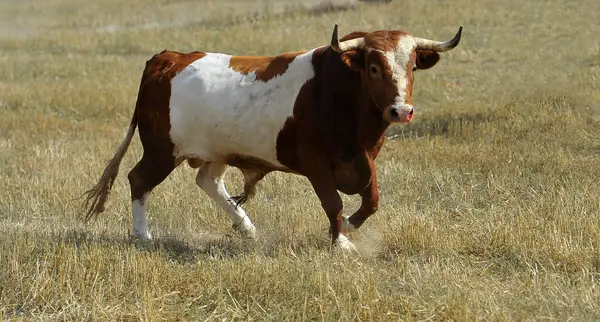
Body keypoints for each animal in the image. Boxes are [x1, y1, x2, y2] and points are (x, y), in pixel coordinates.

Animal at [82, 24, 462, 252]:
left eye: (412, 66)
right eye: (373, 67)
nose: (401, 110)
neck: (339, 91)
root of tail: (168, 58)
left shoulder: (364, 159)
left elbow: (372, 201)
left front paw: (350, 228)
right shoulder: (316, 163)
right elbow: (333, 203)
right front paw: (340, 242)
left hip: (217, 150)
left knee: (207, 180)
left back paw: (246, 227)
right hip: (162, 150)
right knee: (139, 179)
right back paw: (142, 235)